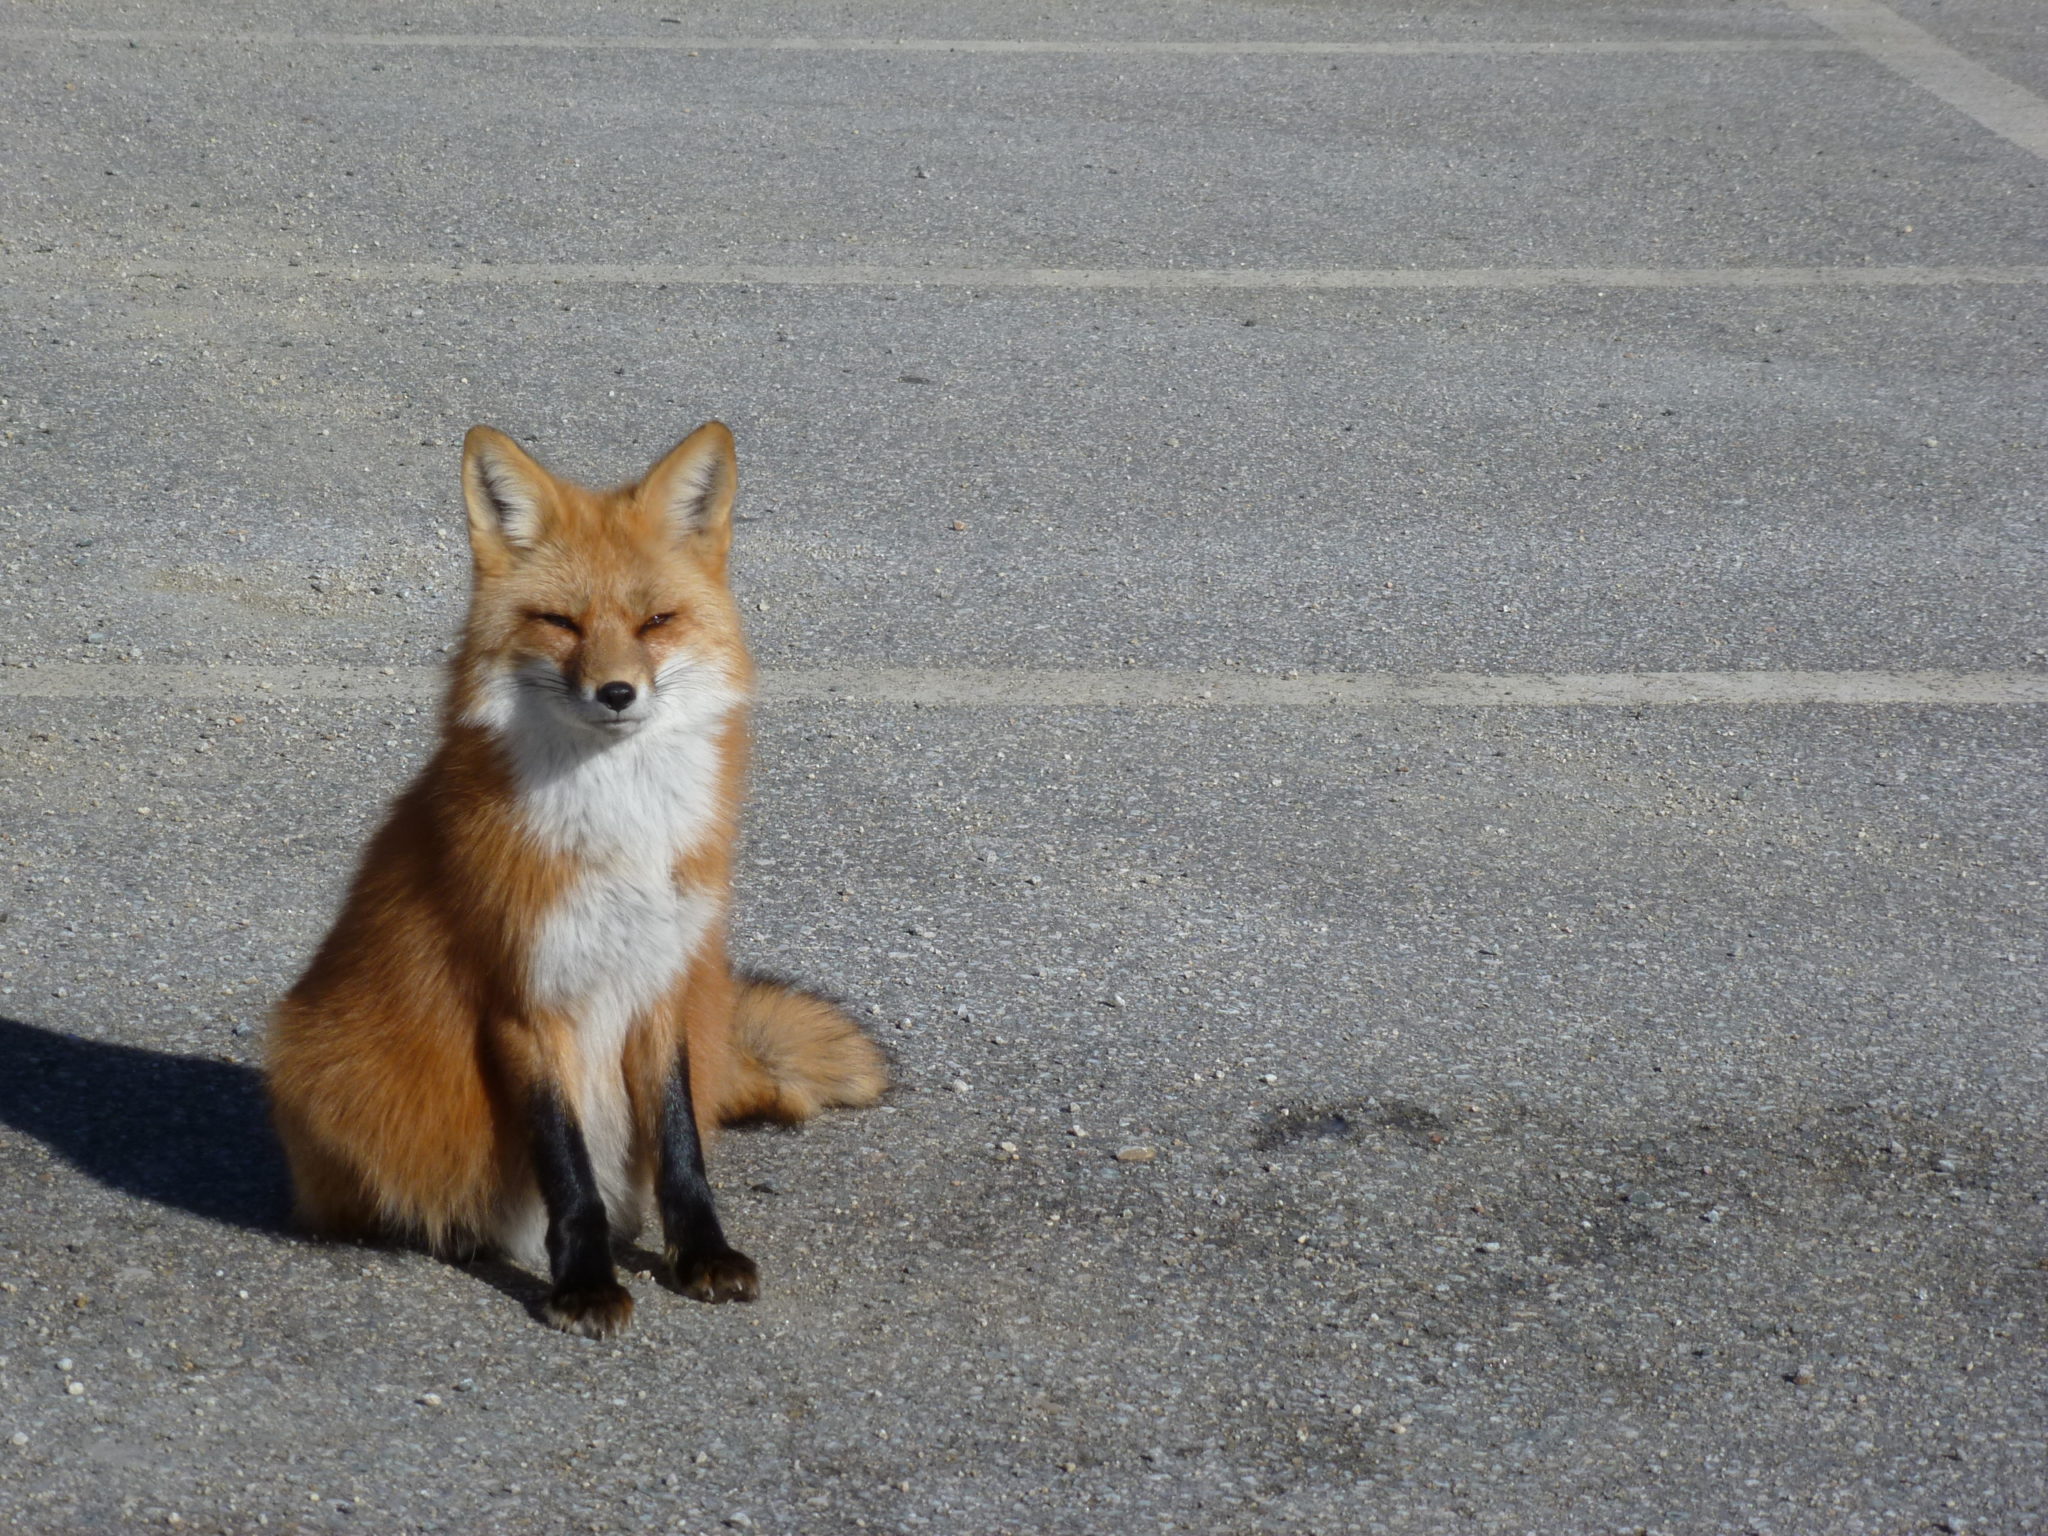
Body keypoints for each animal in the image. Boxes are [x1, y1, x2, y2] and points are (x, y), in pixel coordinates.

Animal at [266, 421, 886, 1337]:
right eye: (559, 622)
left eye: (656, 620)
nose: (617, 692)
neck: (621, 832)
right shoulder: (522, 998)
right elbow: (568, 1167)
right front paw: (585, 1284)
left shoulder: (661, 982)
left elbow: (680, 1149)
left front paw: (701, 1255)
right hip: (322, 1061)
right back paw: (451, 1230)